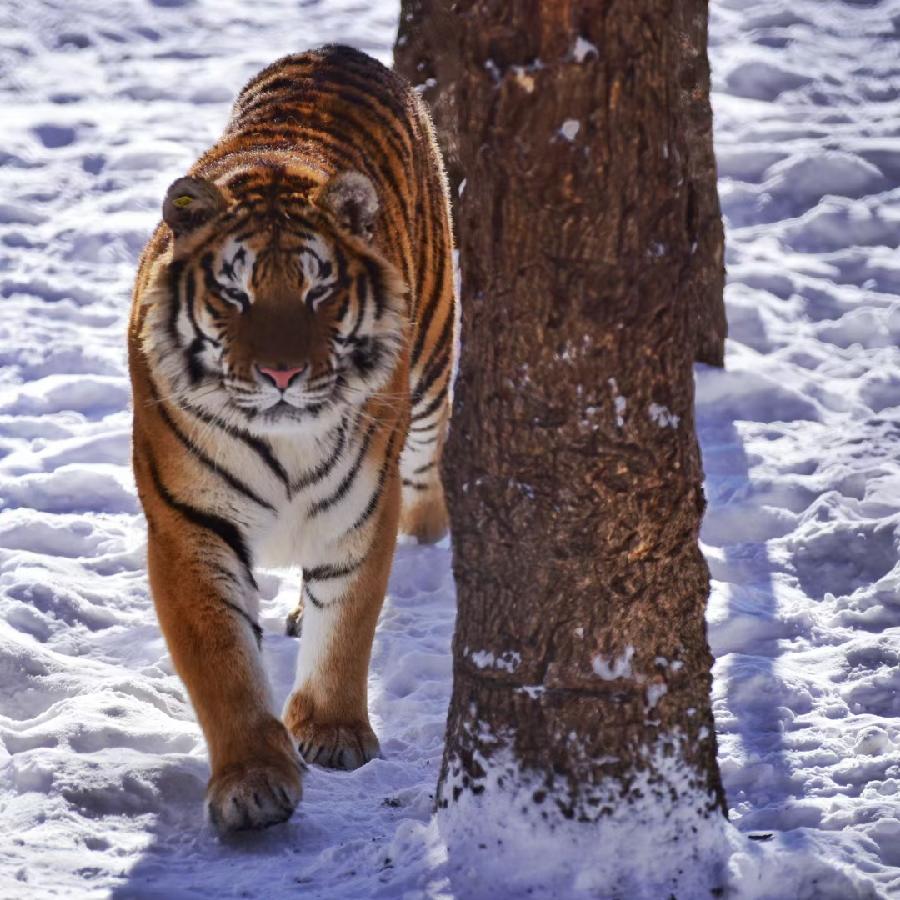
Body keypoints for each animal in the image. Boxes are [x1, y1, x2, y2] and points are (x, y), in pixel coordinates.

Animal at [128, 44, 457, 832]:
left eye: (319, 291)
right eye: (235, 294)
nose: (282, 372)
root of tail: (333, 49)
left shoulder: (359, 506)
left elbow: (350, 622)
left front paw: (334, 734)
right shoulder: (189, 524)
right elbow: (221, 663)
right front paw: (252, 782)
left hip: (434, 360)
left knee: (427, 468)